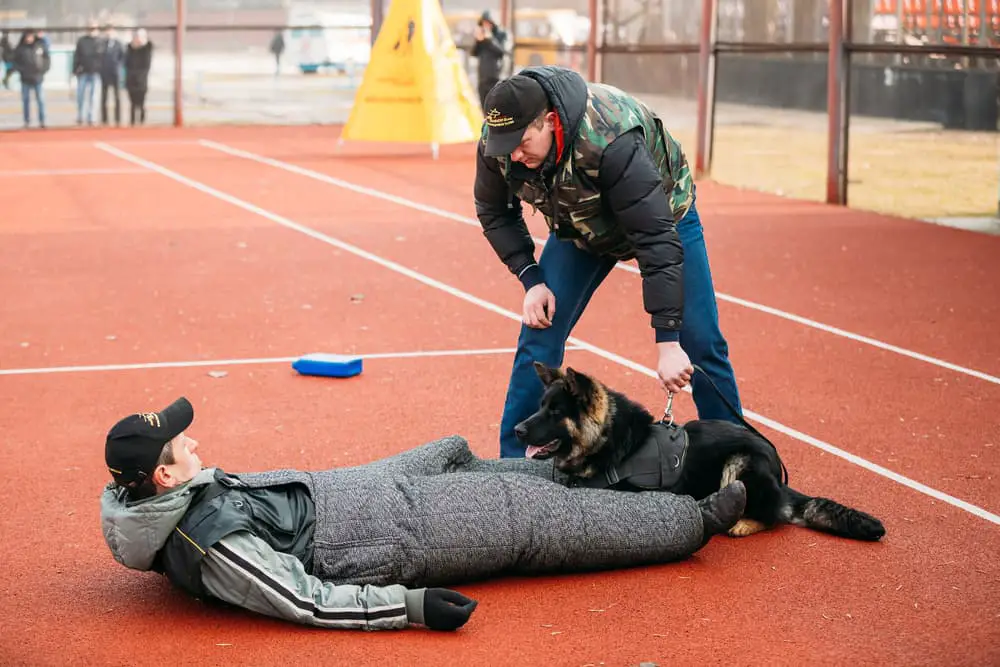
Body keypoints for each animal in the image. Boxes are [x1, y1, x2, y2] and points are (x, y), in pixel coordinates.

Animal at [516, 366, 884, 544]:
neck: (608, 442)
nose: (518, 430)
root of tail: (780, 477)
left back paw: (742, 523)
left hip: (741, 462)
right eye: (541, 407)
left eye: (555, 412)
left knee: (774, 516)